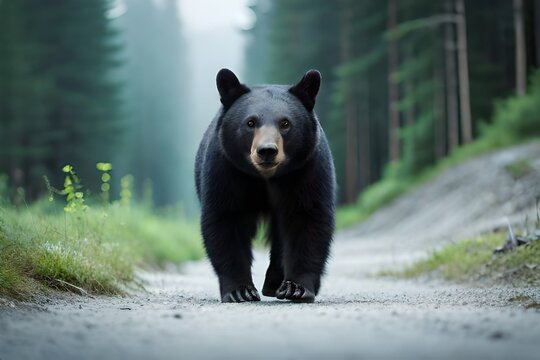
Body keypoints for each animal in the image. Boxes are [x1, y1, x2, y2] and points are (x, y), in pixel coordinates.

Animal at [196, 68, 336, 304]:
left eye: (285, 123)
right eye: (250, 122)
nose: (267, 150)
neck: (266, 178)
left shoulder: (306, 169)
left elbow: (308, 218)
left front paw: (297, 288)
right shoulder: (226, 170)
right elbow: (225, 219)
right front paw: (240, 290)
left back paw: (275, 284)